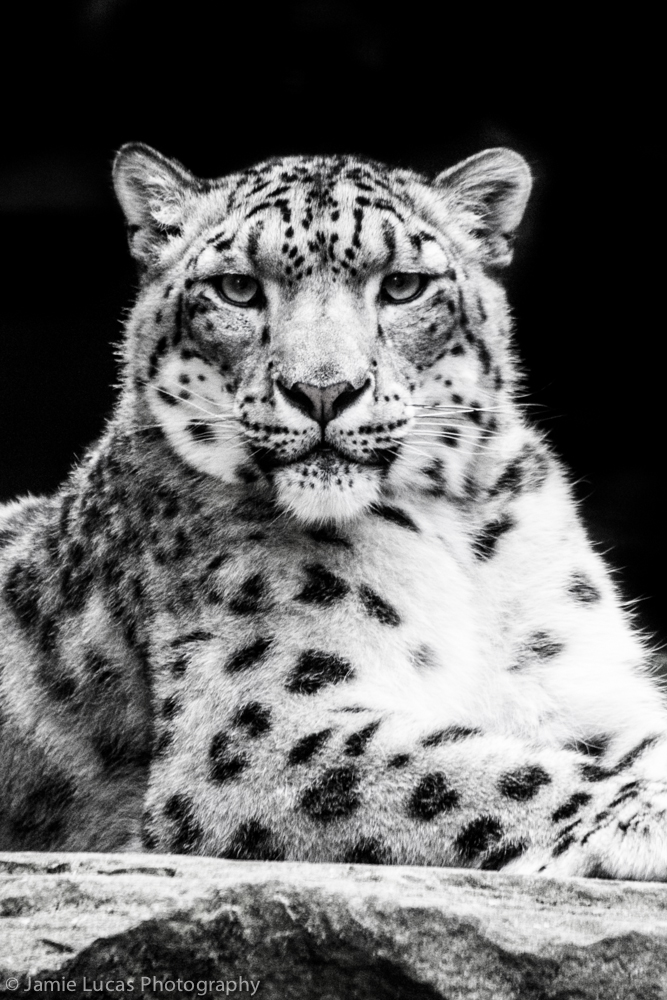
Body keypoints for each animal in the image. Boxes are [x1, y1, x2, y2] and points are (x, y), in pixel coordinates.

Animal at [1, 142, 666, 880]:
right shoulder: (257, 729)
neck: (456, 543)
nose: (323, 390)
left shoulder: (581, 681)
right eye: (237, 289)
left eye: (402, 286)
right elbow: (475, 773)